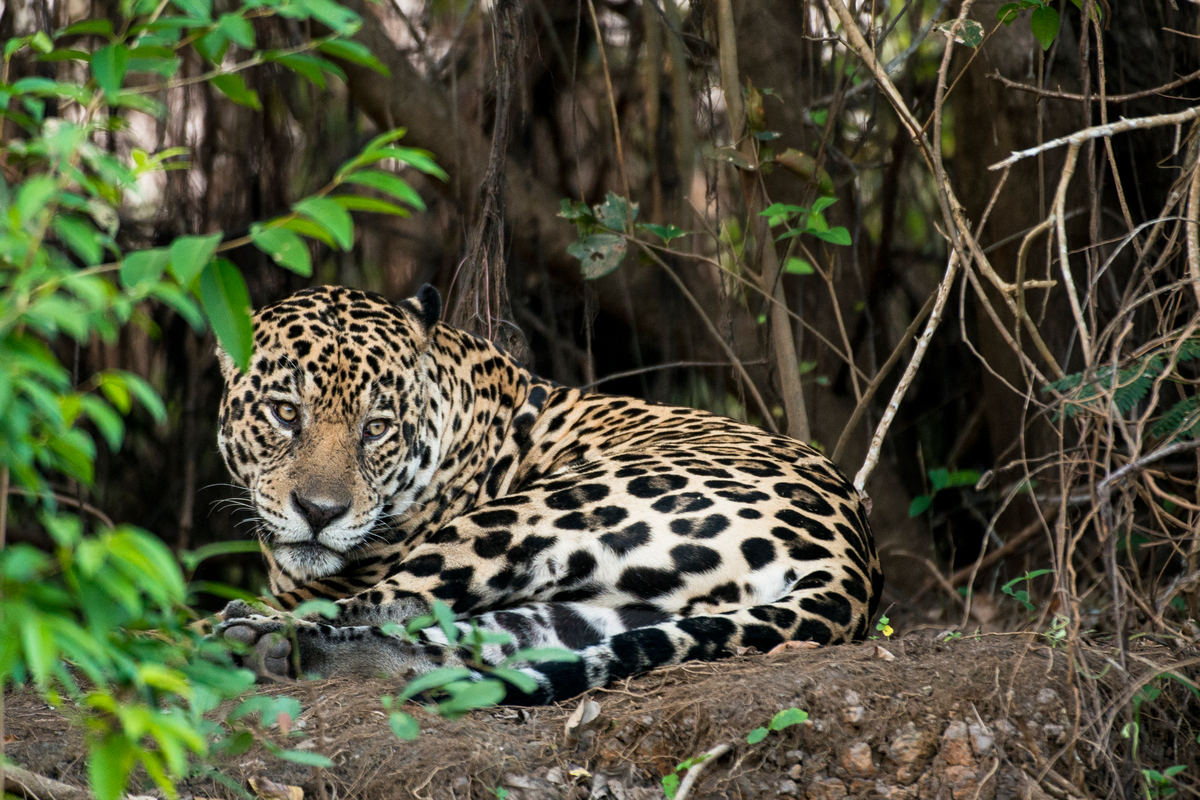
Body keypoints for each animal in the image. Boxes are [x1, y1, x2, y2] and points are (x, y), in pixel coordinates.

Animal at [213, 284, 883, 705]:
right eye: (284, 413)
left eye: (376, 428)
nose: (319, 513)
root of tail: (854, 559)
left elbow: (338, 595)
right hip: (602, 608)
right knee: (468, 650)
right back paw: (289, 654)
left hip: (537, 513)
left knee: (390, 604)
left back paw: (253, 636)